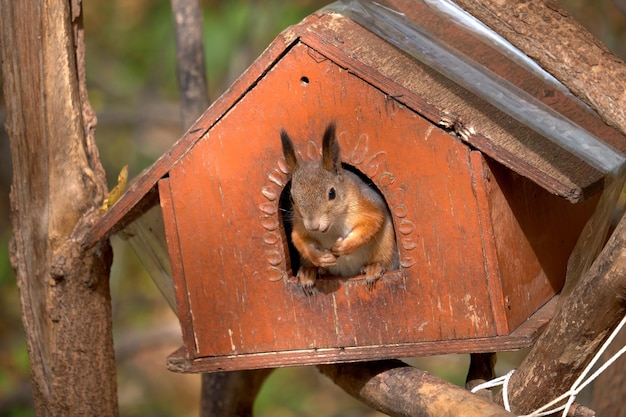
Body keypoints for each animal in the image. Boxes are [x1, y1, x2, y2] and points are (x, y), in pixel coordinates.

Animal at [280, 122, 398, 294]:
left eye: (332, 193)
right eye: (291, 198)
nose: (313, 225)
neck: (332, 226)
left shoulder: (367, 204)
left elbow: (372, 222)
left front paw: (344, 246)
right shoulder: (300, 224)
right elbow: (298, 238)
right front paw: (319, 257)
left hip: (387, 247)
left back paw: (374, 267)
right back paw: (310, 272)